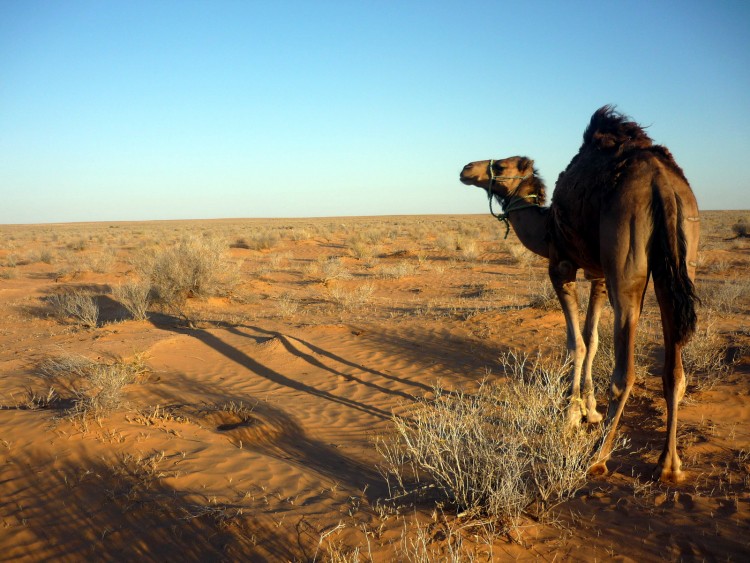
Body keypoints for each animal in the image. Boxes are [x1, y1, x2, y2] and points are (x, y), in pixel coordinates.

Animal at [462, 104, 704, 480]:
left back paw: (597, 457)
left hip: (627, 258)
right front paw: (589, 410)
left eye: (501, 166)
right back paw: (669, 464)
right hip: (682, 257)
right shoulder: (599, 274)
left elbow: (575, 341)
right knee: (674, 369)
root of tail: (662, 184)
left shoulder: (561, 265)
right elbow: (592, 338)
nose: (466, 169)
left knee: (625, 371)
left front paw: (571, 415)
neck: (545, 226)